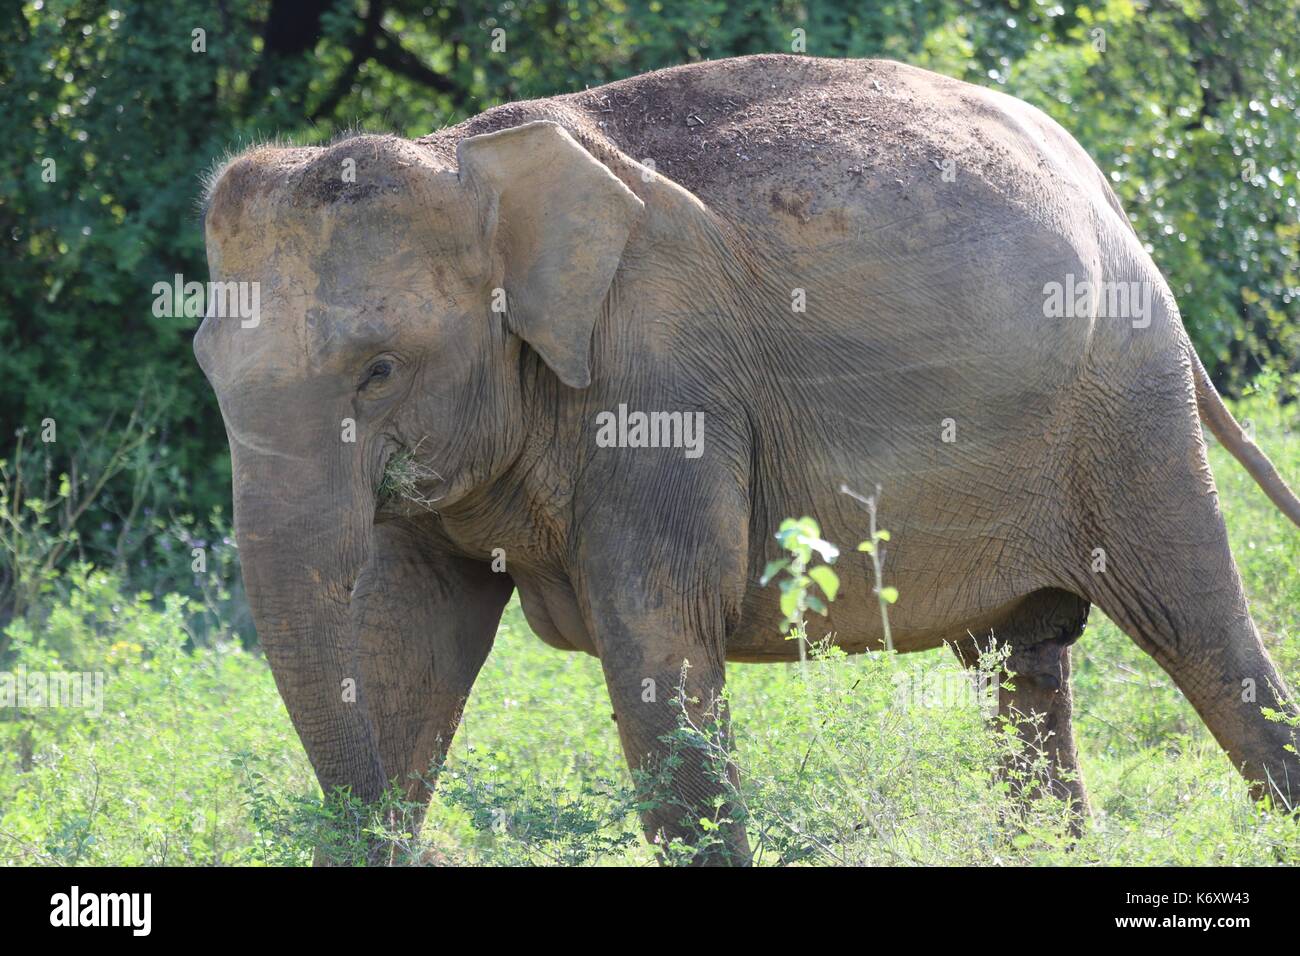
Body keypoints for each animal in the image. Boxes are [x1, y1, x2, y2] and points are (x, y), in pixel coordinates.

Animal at [195, 54, 1300, 868]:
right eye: (205, 361)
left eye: (377, 369)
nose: (422, 849)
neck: (469, 159)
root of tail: (1104, 188)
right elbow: (407, 646)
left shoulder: (662, 385)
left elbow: (659, 655)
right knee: (1022, 669)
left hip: (1126, 402)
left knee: (1203, 637)